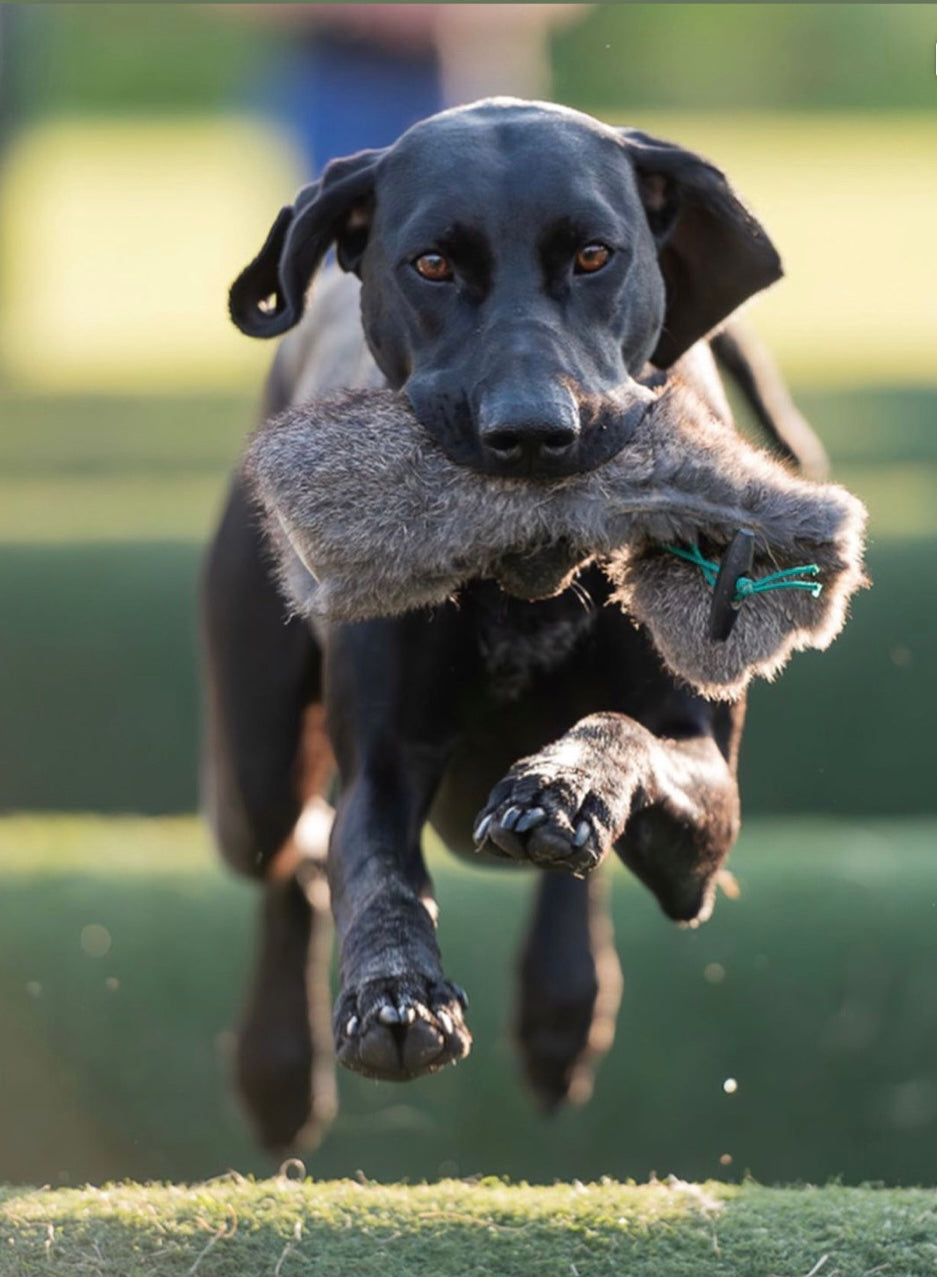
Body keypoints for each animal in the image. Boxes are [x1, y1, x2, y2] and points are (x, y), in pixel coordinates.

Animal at [201, 97, 817, 1149]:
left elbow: (619, 733)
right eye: (431, 265)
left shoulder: (706, 809)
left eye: (594, 255)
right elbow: (373, 871)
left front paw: (561, 788)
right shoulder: (383, 760)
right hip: (253, 771)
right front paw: (396, 996)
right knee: (294, 858)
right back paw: (278, 1069)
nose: (531, 432)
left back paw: (561, 993)